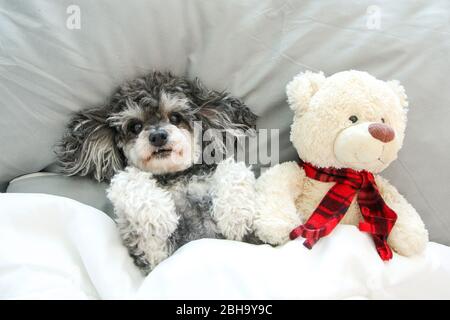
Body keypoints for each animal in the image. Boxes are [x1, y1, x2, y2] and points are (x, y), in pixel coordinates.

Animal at [58, 71, 258, 274]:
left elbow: (231, 168)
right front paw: (158, 215)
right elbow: (128, 177)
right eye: (135, 127)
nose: (158, 136)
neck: (173, 177)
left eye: (175, 118)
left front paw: (236, 215)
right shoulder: (153, 254)